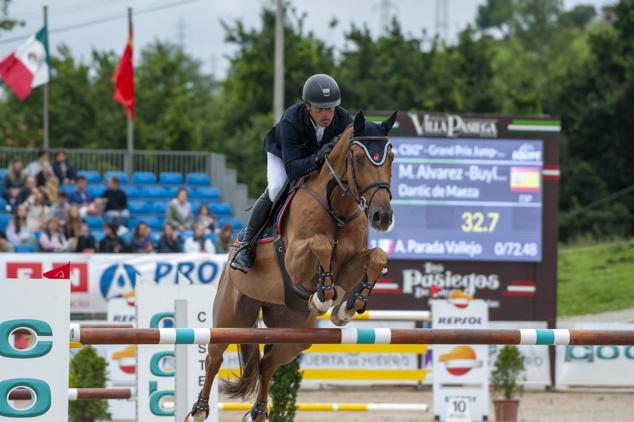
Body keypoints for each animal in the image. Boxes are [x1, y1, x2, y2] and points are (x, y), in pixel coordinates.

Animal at [183, 110, 398, 420]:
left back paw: (260, 412)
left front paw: (346, 307)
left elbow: (377, 256)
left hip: (295, 333)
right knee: (214, 357)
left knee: (268, 363)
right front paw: (323, 297)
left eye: (390, 157)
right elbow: (320, 245)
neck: (337, 207)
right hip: (229, 317)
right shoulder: (294, 260)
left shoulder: (348, 266)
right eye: (358, 158)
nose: (382, 216)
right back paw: (199, 410)